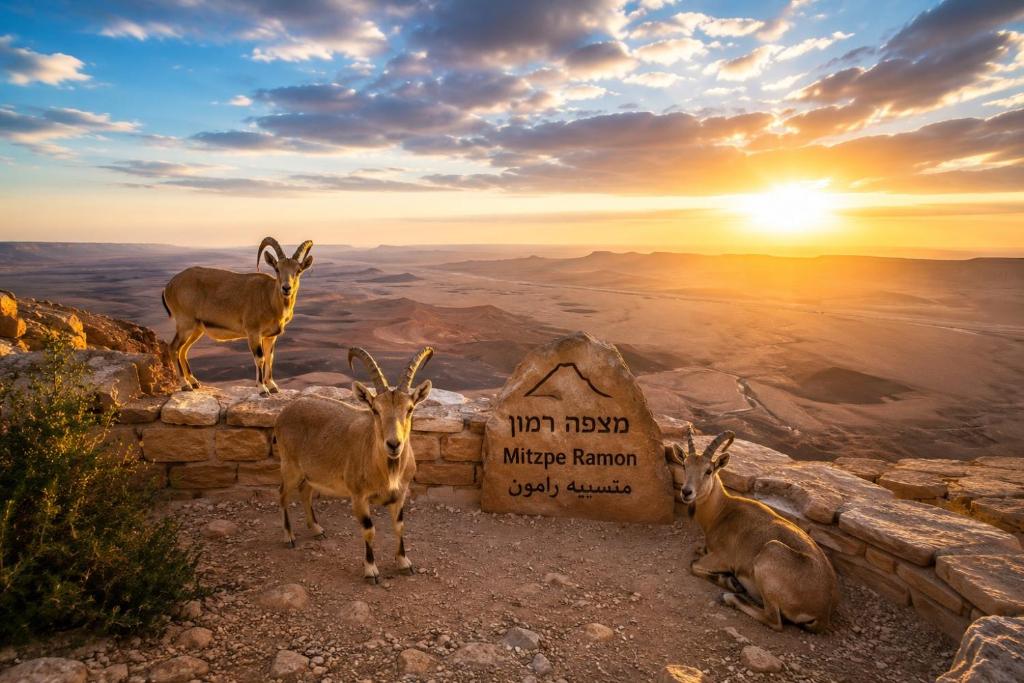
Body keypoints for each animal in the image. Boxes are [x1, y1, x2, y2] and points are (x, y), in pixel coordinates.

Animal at [161, 237, 313, 396]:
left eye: (298, 270)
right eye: (277, 269)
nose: (286, 288)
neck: (269, 297)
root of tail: (169, 287)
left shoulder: (270, 336)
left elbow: (270, 358)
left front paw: (272, 386)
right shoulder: (253, 332)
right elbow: (260, 358)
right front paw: (262, 389)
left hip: (196, 329)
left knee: (183, 350)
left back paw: (194, 382)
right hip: (185, 324)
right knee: (173, 348)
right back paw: (185, 384)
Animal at [274, 346, 433, 583]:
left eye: (410, 408)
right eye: (375, 410)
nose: (393, 444)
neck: (387, 471)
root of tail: (286, 410)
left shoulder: (400, 494)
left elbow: (399, 526)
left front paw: (404, 563)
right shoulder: (358, 496)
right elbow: (369, 530)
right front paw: (371, 570)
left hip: (312, 472)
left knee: (305, 492)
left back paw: (317, 529)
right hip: (290, 465)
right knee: (283, 493)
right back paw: (289, 536)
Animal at [671, 427, 838, 632]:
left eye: (708, 471)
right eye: (685, 465)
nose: (686, 492)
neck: (722, 510)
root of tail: (823, 612)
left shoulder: (723, 558)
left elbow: (694, 565)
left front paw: (731, 582)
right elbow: (698, 550)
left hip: (770, 554)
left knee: (774, 620)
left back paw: (731, 596)